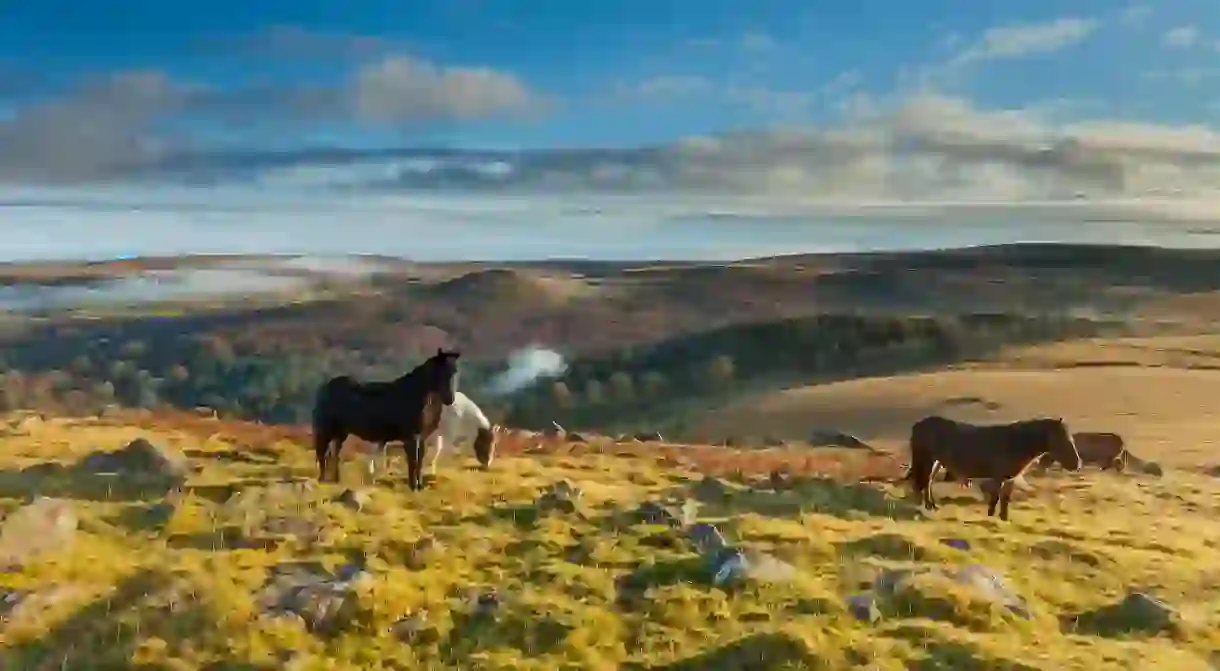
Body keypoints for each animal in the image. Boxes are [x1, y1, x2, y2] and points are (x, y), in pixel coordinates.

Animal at [314, 348, 461, 492]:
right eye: (441, 372)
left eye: (455, 371)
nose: (450, 399)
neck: (419, 396)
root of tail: (325, 388)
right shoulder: (411, 437)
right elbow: (413, 460)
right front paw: (413, 486)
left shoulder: (422, 437)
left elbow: (419, 461)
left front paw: (419, 486)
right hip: (326, 430)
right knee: (323, 453)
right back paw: (322, 480)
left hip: (341, 432)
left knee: (335, 453)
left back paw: (336, 480)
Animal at [363, 392, 497, 480]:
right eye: (485, 441)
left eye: (494, 443)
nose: (488, 464)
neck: (463, 416)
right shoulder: (447, 435)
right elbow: (441, 451)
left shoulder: (436, 436)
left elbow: (433, 452)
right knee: (371, 453)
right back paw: (372, 472)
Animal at [902, 417, 1083, 524]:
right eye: (1062, 439)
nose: (1078, 464)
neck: (1016, 442)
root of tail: (917, 425)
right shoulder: (998, 476)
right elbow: (995, 497)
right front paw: (991, 516)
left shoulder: (1009, 478)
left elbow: (1005, 499)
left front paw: (1004, 519)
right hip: (925, 459)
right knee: (922, 482)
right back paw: (923, 507)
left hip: (936, 462)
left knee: (928, 482)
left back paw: (931, 506)